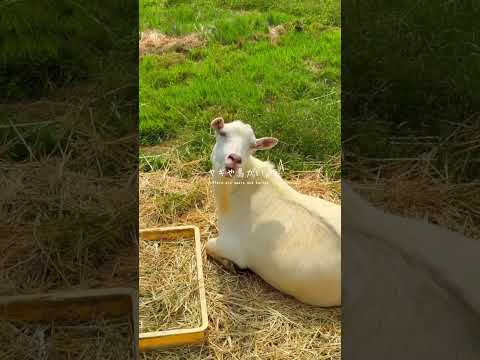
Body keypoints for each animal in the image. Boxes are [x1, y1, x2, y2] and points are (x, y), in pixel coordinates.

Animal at [206, 118, 342, 306]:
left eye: (252, 146)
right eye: (223, 133)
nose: (235, 159)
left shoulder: (231, 246)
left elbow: (207, 245)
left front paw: (228, 264)